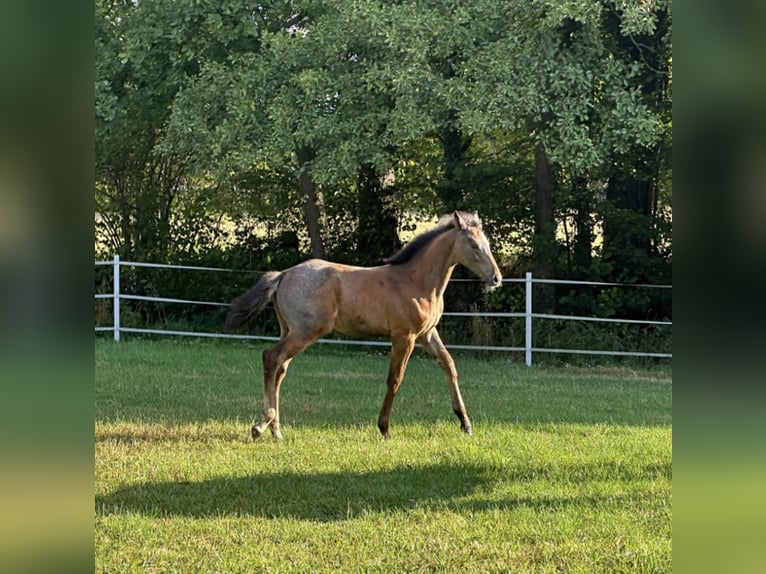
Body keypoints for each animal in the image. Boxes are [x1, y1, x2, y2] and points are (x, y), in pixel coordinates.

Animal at [225, 211, 502, 440]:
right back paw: (261, 425)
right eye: (474, 245)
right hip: (305, 332)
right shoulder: (404, 336)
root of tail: (283, 275)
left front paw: (466, 424)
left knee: (280, 368)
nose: (496, 278)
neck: (416, 281)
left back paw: (275, 430)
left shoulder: (427, 334)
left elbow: (449, 365)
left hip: (290, 331)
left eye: (487, 244)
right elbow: (395, 379)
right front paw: (384, 429)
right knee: (270, 357)